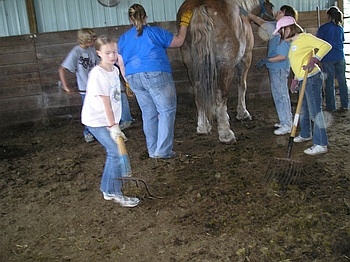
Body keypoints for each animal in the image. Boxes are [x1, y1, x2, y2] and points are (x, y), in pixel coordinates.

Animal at [178, 0, 274, 143]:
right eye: (271, 7)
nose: (274, 23)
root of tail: (200, 7)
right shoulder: (245, 58)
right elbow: (242, 85)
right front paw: (242, 113)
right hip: (226, 66)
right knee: (221, 94)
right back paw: (226, 133)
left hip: (192, 67)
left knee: (197, 91)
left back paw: (203, 126)